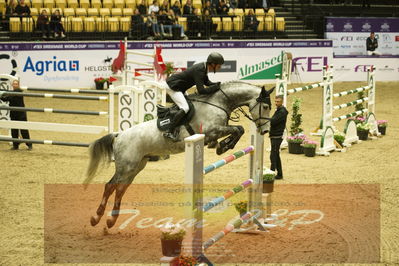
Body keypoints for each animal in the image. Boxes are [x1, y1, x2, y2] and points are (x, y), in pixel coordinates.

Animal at [85, 81, 276, 229]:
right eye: (266, 106)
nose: (265, 130)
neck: (219, 102)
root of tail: (119, 135)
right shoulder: (211, 131)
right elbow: (238, 129)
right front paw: (223, 146)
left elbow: (239, 129)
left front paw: (222, 146)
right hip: (126, 166)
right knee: (110, 186)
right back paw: (96, 217)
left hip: (136, 166)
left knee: (120, 189)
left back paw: (111, 220)